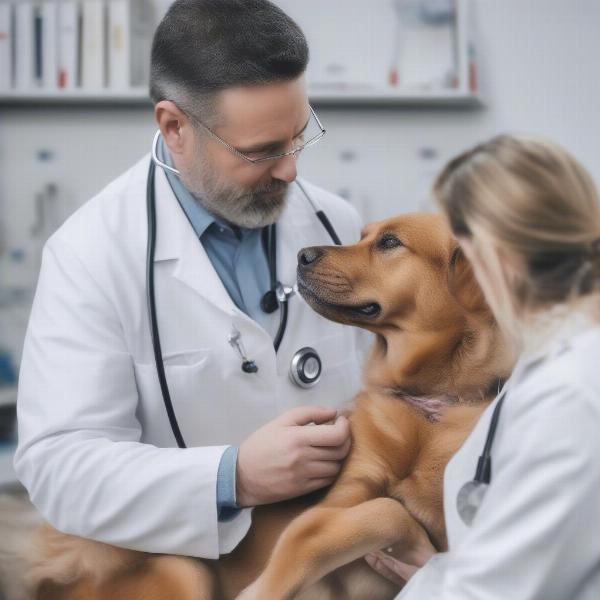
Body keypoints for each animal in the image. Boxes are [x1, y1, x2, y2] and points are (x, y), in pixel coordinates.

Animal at [27, 214, 510, 600]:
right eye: (363, 235)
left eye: (390, 242)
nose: (303, 255)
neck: (428, 408)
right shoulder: (341, 498)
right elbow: (366, 516)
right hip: (183, 572)